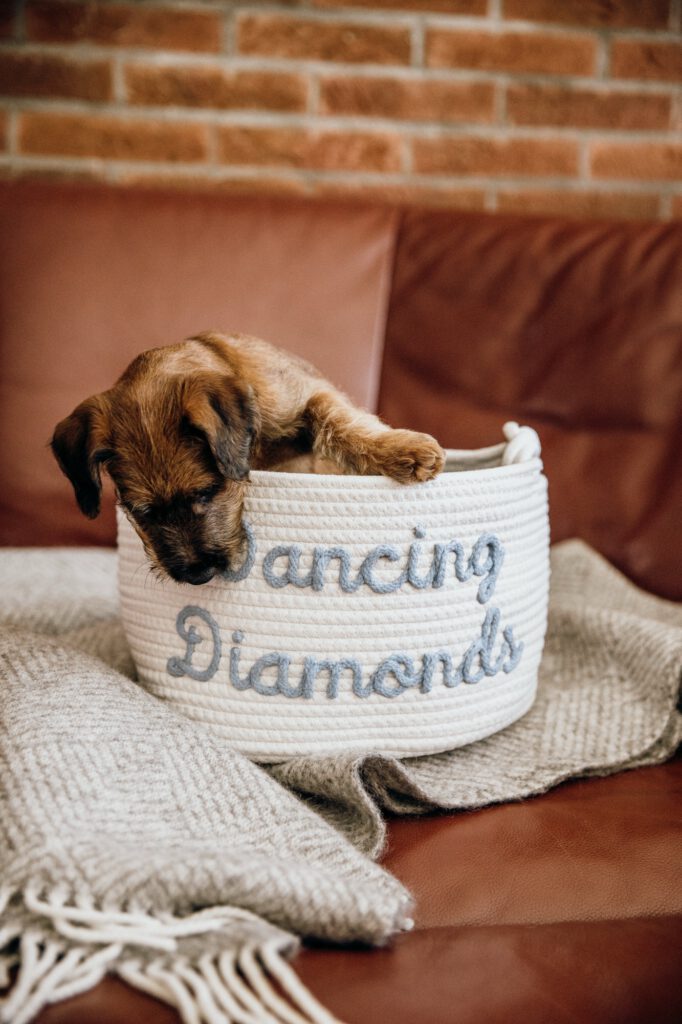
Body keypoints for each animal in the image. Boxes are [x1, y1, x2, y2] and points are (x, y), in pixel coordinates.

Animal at [51, 331, 445, 585]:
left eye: (206, 492)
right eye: (142, 512)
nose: (197, 575)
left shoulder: (310, 394)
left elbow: (337, 418)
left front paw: (403, 450)